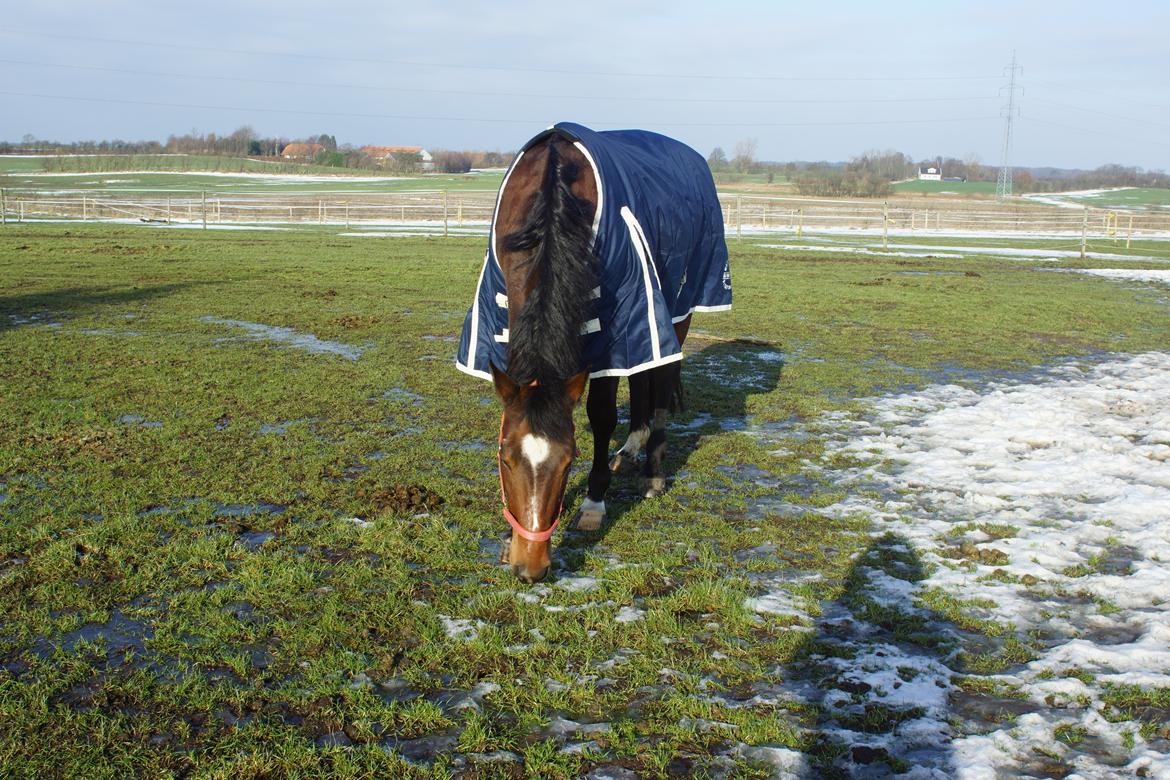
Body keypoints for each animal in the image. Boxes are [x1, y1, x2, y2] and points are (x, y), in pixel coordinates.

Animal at [456, 122, 730, 582]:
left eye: (570, 462)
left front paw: (593, 502)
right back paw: (632, 448)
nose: (531, 568)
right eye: (506, 459)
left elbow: (601, 416)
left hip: (675, 309)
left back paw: (653, 470)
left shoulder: (614, 334)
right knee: (643, 379)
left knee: (661, 378)